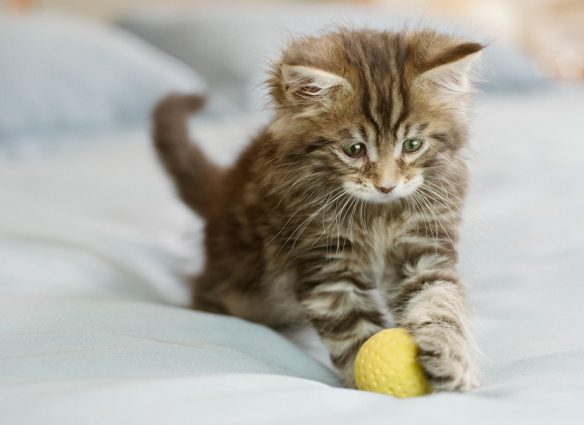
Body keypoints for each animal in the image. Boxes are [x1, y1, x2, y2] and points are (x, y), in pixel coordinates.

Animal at [153, 28, 482, 390]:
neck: (379, 214)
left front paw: (450, 356)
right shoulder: (327, 266)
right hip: (236, 282)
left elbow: (439, 301)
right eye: (354, 149)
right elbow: (354, 330)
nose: (386, 185)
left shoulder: (424, 248)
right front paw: (363, 380)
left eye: (412, 145)